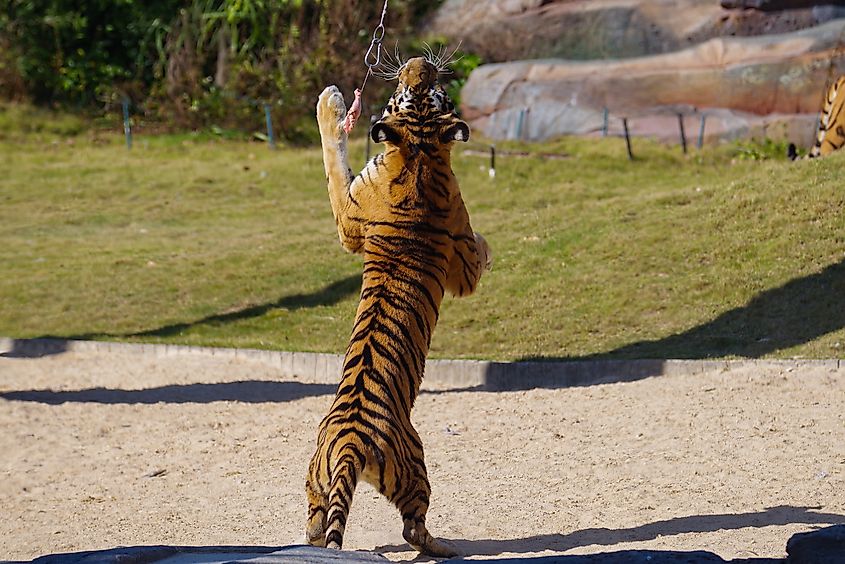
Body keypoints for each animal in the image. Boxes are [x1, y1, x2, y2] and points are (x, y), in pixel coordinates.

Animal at [304, 56, 491, 558]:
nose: (418, 63)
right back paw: (448, 547)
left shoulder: (349, 224)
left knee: (330, 528)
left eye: (426, 91)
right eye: (412, 91)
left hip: (319, 478)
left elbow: (333, 162)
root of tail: (349, 446)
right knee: (413, 529)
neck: (419, 151)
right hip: (414, 465)